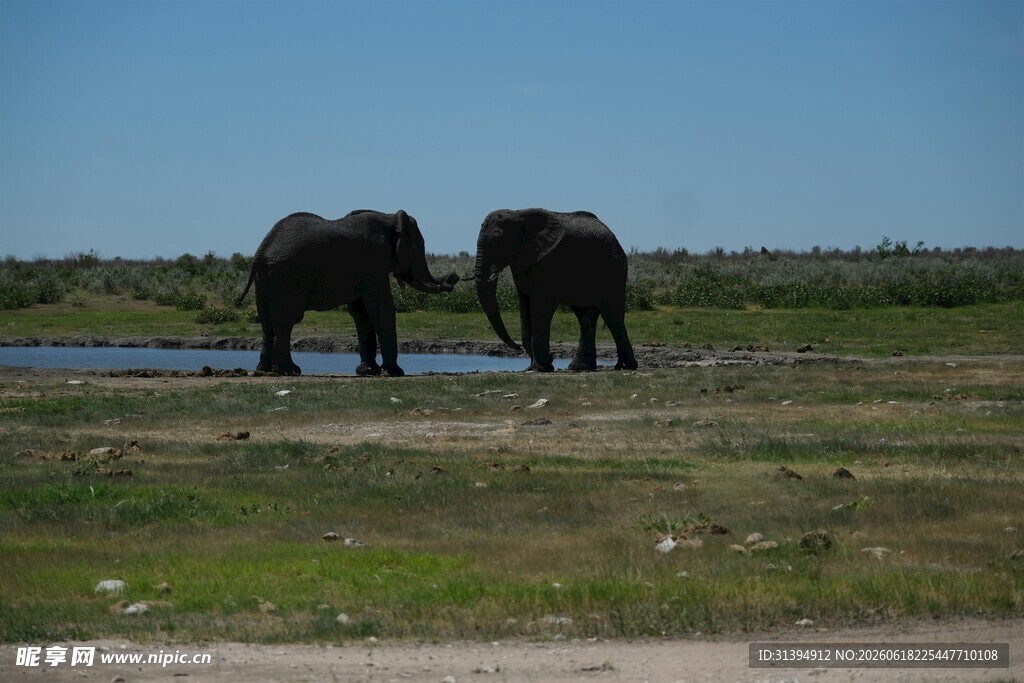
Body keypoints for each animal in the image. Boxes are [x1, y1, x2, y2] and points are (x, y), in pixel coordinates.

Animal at [237, 210, 458, 376]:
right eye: (419, 247)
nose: (453, 277)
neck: (389, 217)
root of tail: (262, 251)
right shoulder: (373, 264)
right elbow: (381, 308)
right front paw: (395, 372)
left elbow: (362, 314)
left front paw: (368, 372)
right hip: (288, 277)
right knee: (286, 321)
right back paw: (289, 371)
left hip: (264, 279)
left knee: (267, 322)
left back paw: (263, 371)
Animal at [474, 208, 638, 373]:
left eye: (499, 243)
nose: (518, 347)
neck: (518, 214)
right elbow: (524, 304)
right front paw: (534, 367)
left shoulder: (547, 260)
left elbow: (540, 305)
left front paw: (541, 368)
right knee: (585, 315)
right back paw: (580, 367)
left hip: (614, 268)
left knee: (612, 314)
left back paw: (625, 367)